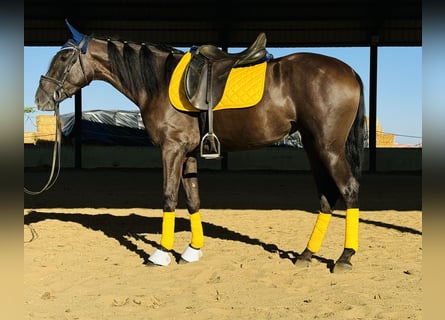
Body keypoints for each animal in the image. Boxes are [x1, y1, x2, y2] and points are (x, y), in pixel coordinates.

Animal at [33, 21, 362, 272]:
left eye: (62, 58)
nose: (41, 97)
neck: (158, 81)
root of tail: (350, 72)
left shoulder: (171, 149)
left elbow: (168, 198)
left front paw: (160, 254)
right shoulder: (189, 152)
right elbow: (193, 199)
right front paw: (192, 250)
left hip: (328, 148)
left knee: (348, 190)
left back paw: (344, 258)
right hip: (313, 147)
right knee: (326, 196)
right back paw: (306, 255)